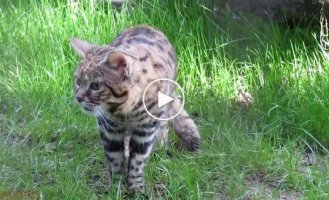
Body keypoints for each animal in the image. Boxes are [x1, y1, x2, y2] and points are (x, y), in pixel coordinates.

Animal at [70, 25, 199, 192]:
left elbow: (138, 159)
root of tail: (146, 25)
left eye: (95, 85)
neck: (124, 110)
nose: (78, 98)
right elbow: (115, 158)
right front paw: (117, 186)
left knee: (163, 126)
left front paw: (136, 187)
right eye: (78, 81)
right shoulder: (109, 129)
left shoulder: (146, 130)